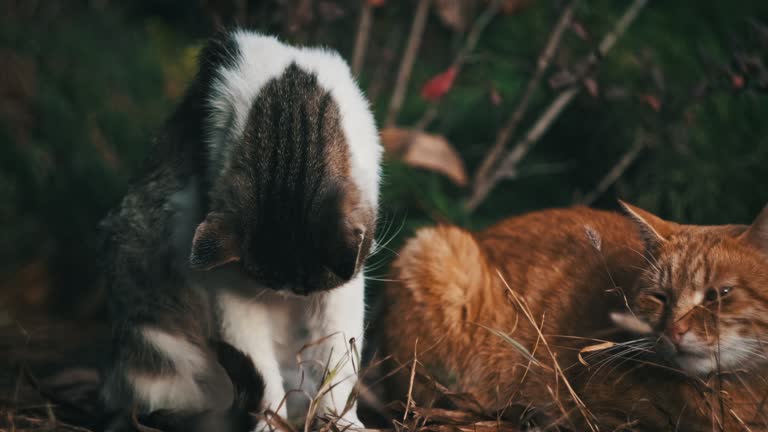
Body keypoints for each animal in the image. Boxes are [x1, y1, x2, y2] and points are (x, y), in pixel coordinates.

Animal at [99, 28, 380, 430]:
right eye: (270, 284)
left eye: (303, 291)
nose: (291, 298)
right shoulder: (229, 285)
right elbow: (259, 370)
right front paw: (270, 423)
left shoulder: (344, 285)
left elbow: (339, 357)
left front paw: (341, 421)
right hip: (155, 345)